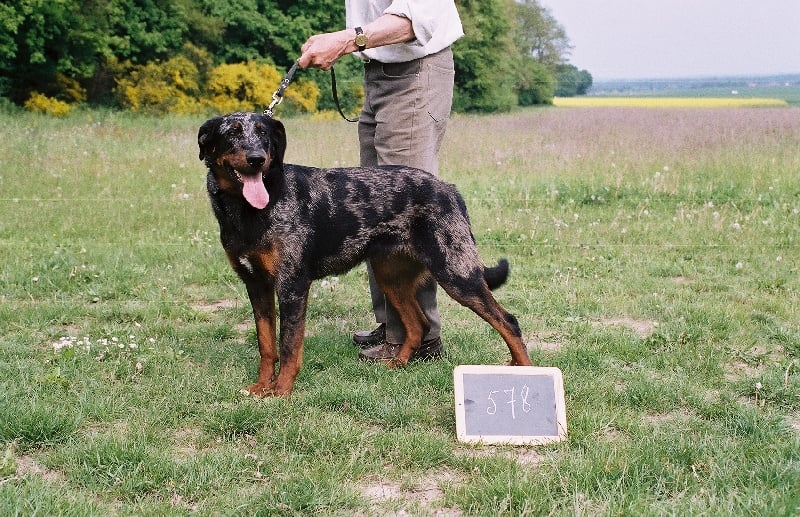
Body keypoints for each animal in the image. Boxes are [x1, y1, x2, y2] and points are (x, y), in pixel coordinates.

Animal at [196, 113, 532, 396]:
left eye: (264, 133)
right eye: (232, 132)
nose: (257, 159)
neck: (249, 211)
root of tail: (449, 188)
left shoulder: (292, 287)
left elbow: (289, 346)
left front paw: (281, 391)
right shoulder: (258, 287)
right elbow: (267, 345)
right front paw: (261, 386)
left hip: (457, 273)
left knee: (508, 321)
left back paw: (527, 373)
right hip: (390, 277)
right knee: (417, 325)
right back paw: (397, 364)